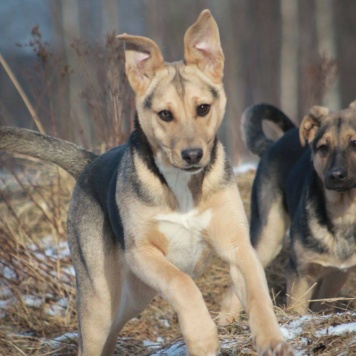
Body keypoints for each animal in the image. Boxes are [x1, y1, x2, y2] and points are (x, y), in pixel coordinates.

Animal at [0, 10, 292, 356]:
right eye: (165, 114)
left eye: (203, 108)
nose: (193, 155)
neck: (183, 186)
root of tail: (89, 163)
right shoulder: (142, 253)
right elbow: (182, 283)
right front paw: (203, 337)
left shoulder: (238, 246)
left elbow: (258, 292)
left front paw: (272, 340)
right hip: (100, 298)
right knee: (92, 337)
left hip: (131, 298)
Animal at [238, 102, 356, 314]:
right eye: (323, 148)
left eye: (355, 143)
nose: (335, 176)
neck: (344, 213)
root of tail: (273, 144)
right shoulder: (300, 273)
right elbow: (296, 310)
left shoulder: (336, 274)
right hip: (268, 237)